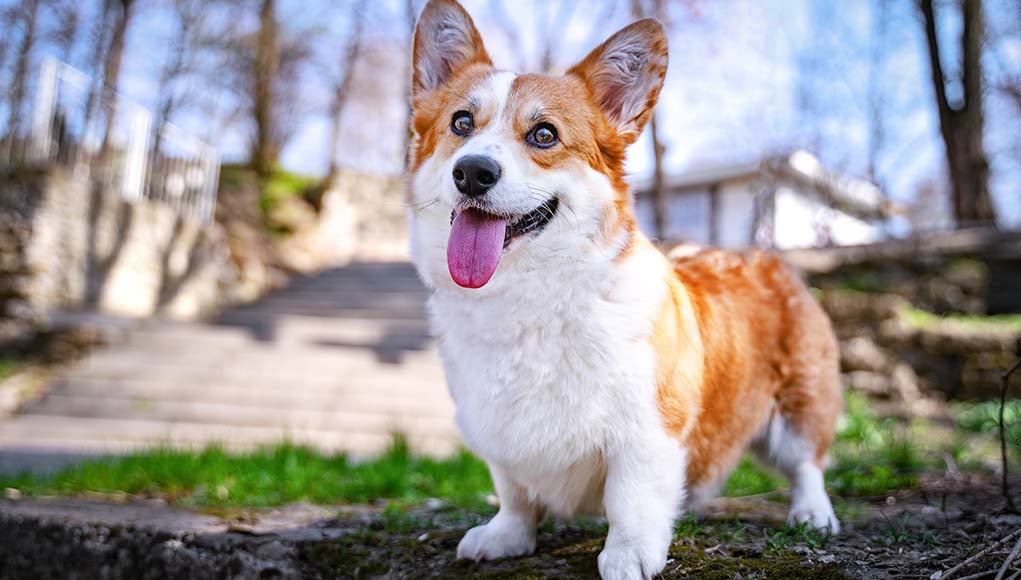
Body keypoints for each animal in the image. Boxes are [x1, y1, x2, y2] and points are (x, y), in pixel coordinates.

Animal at [410, 2, 841, 575]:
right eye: (461, 123)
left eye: (544, 134)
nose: (473, 172)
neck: (530, 298)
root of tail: (763, 256)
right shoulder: (499, 433)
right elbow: (515, 492)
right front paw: (506, 535)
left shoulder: (648, 429)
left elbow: (631, 497)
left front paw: (629, 555)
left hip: (797, 407)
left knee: (807, 464)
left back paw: (812, 514)